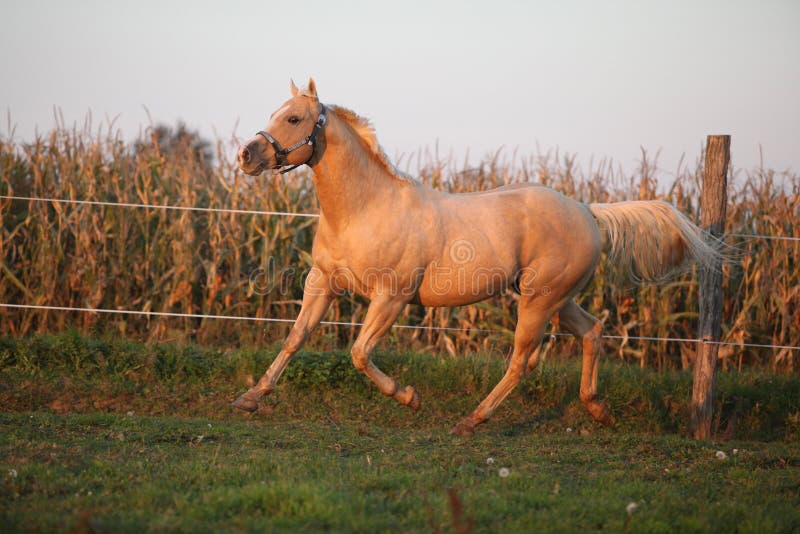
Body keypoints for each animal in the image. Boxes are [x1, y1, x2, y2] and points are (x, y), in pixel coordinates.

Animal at [231, 79, 720, 438]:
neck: (363, 209)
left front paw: (409, 397)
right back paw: (597, 409)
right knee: (593, 331)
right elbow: (295, 338)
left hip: (539, 302)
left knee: (521, 360)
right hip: (558, 300)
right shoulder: (323, 282)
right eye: (274, 113)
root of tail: (587, 210)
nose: (246, 155)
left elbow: (359, 353)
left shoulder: (391, 297)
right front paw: (249, 399)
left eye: (293, 117)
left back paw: (471, 421)